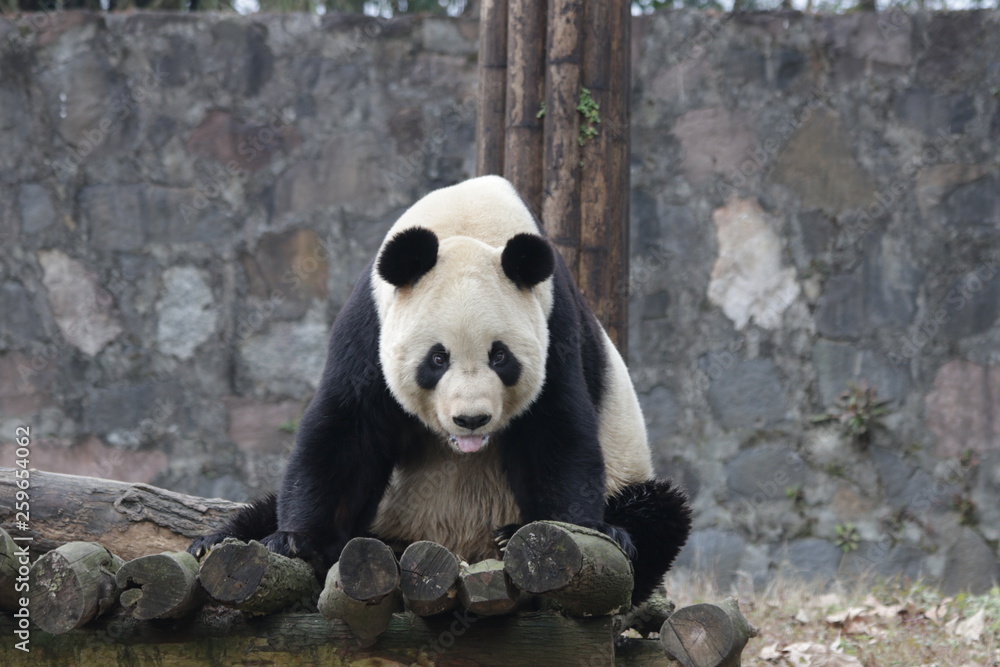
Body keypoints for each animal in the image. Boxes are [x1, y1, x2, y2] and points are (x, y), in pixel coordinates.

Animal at [191, 175, 691, 604]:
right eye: (437, 359)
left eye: (500, 357)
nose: (471, 419)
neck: (467, 222)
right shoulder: (370, 326)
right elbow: (345, 433)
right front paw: (295, 541)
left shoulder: (554, 324)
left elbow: (556, 434)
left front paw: (554, 532)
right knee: (267, 507)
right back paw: (216, 540)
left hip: (628, 469)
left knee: (659, 511)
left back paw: (568, 534)